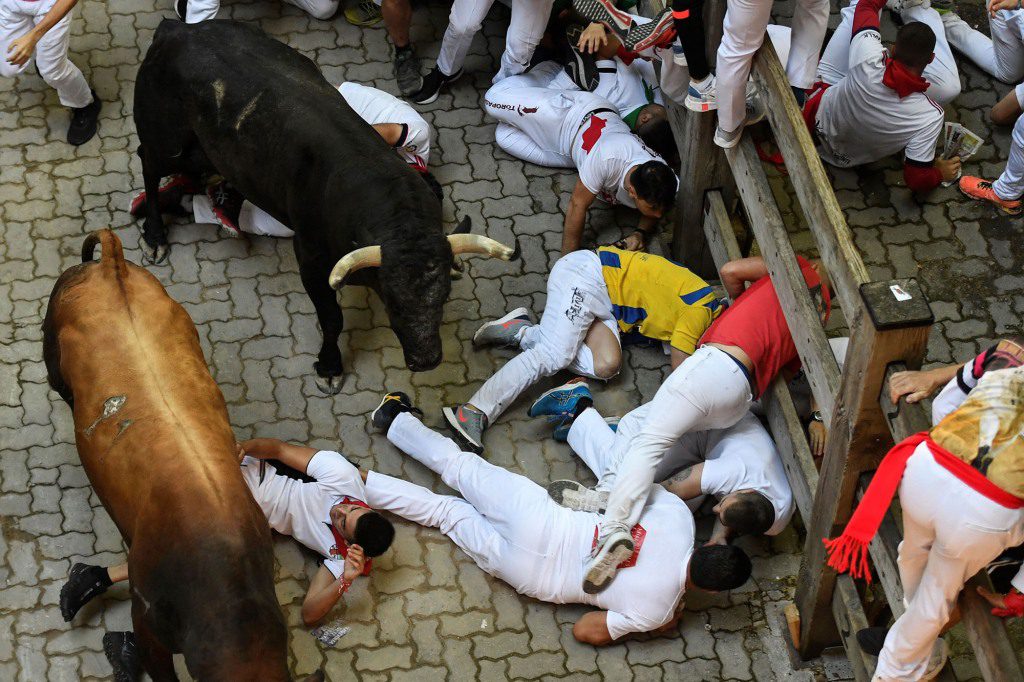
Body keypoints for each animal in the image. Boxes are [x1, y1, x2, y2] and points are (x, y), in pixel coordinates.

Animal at [134, 19, 520, 393]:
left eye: (443, 296)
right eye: (392, 299)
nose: (426, 360)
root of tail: (177, 28)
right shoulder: (311, 259)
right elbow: (332, 317)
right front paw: (331, 367)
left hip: (205, 151)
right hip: (168, 140)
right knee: (148, 164)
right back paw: (155, 235)